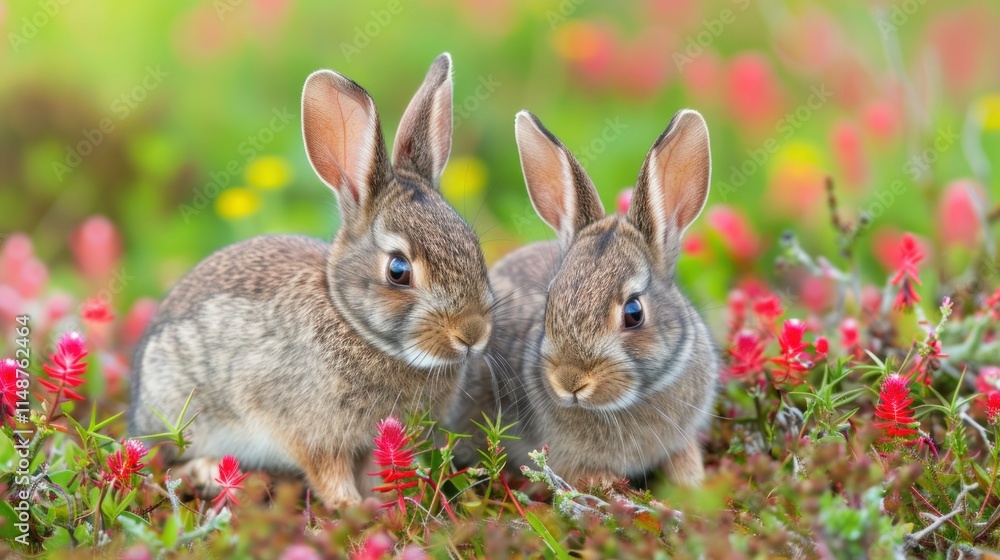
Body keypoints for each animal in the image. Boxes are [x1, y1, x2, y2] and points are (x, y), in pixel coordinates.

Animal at [129, 53, 495, 509]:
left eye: (473, 246)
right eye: (398, 270)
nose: (472, 334)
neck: (354, 325)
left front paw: (389, 503)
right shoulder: (311, 432)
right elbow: (327, 471)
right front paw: (352, 507)